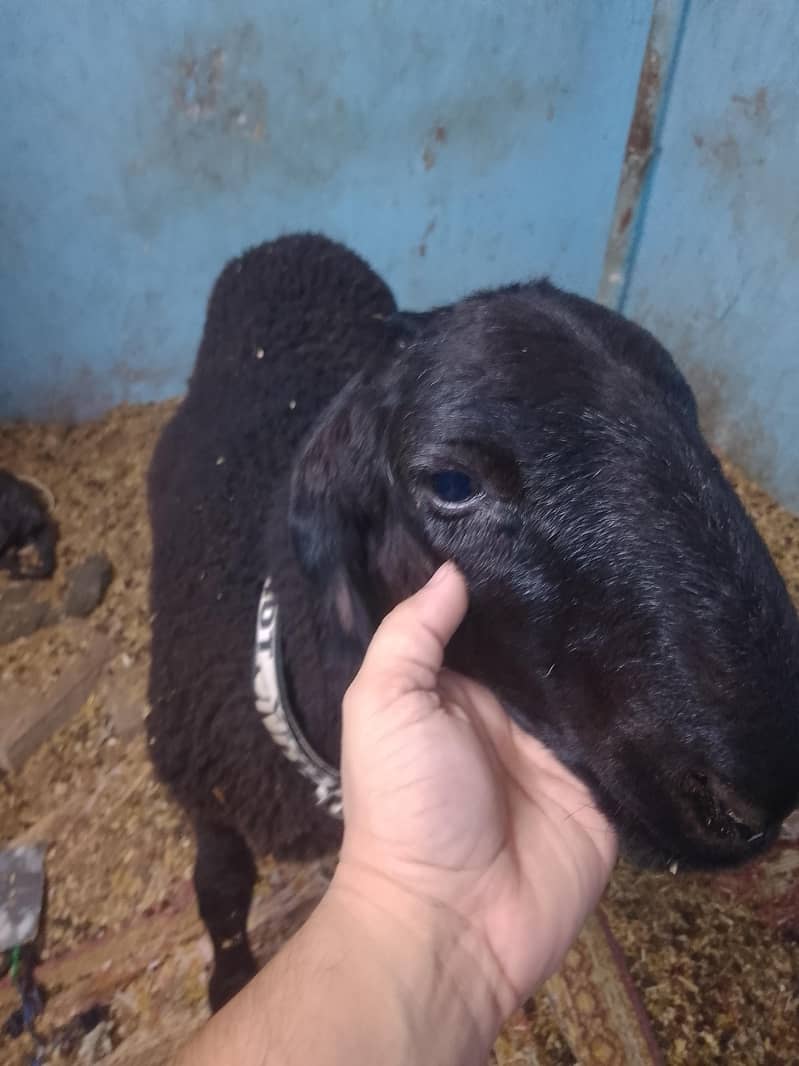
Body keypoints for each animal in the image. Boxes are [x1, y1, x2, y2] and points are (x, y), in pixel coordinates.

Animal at [147, 233, 799, 1012]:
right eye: (451, 485)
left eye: (691, 419)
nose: (759, 792)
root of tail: (292, 239)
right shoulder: (200, 792)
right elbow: (219, 889)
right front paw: (231, 982)